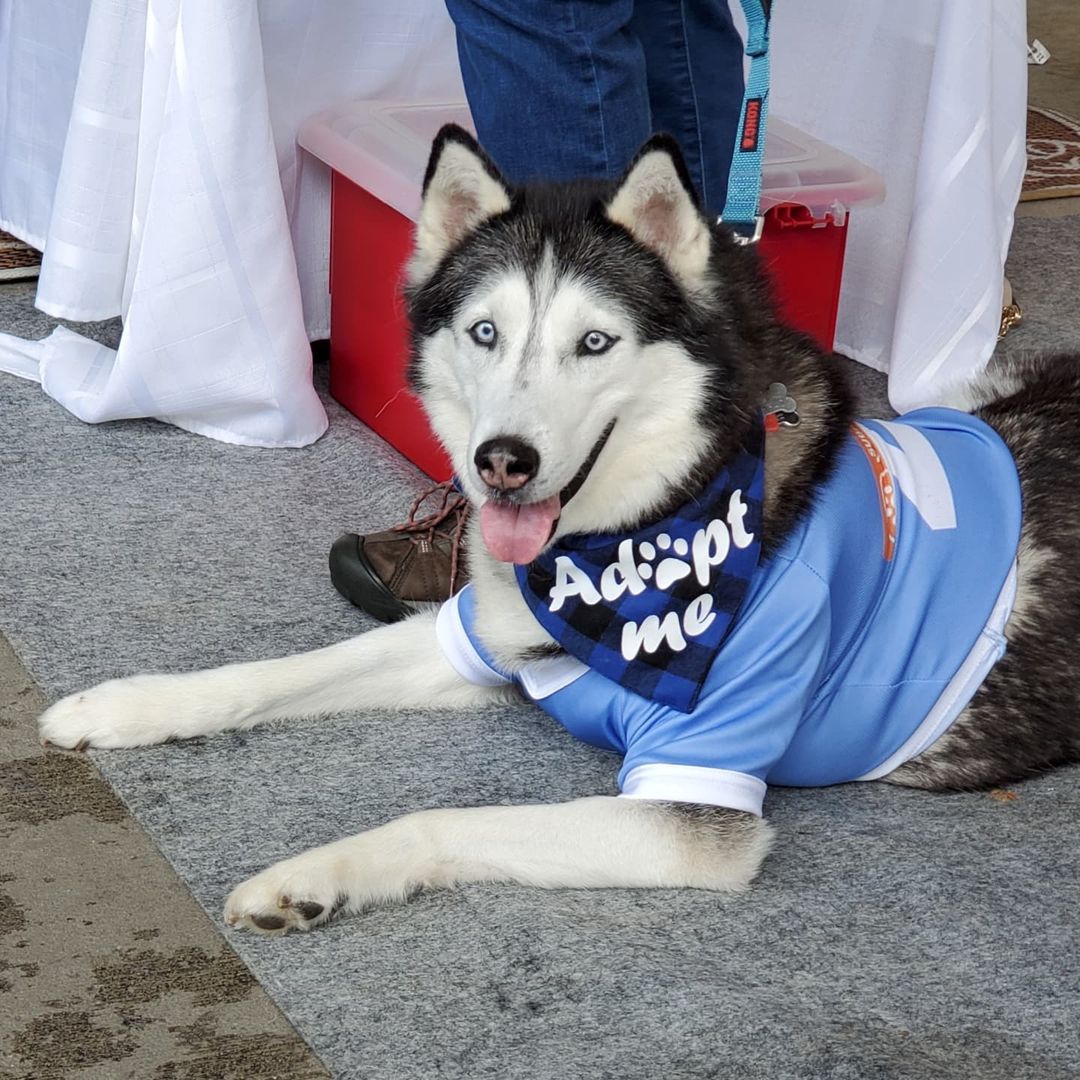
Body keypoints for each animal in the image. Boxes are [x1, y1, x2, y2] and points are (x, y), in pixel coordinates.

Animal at [38, 128, 1080, 937]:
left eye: (595, 342)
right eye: (485, 333)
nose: (502, 461)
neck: (626, 549)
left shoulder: (692, 809)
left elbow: (438, 819)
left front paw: (308, 879)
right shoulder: (475, 637)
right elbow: (270, 675)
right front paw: (124, 706)